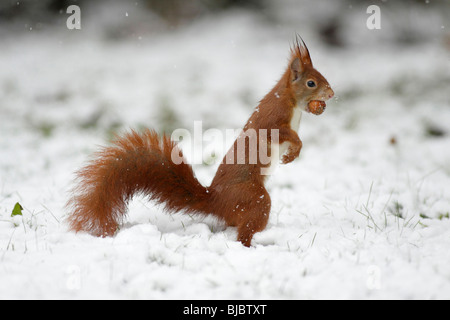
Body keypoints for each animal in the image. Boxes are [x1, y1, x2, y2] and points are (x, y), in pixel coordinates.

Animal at [67, 38, 334, 248]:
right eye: (311, 83)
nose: (331, 94)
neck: (290, 100)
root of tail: (216, 201)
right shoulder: (272, 120)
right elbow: (286, 135)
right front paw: (293, 151)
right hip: (254, 198)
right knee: (244, 233)